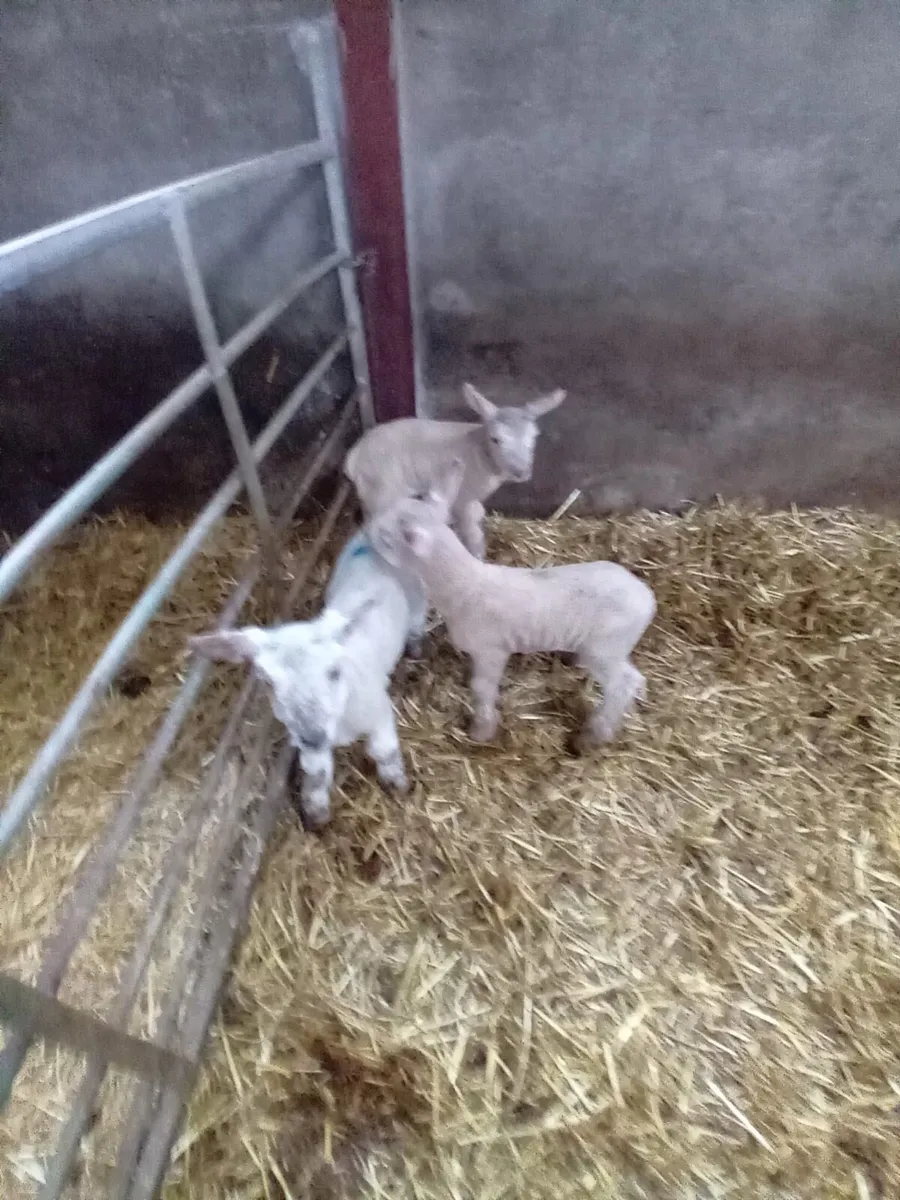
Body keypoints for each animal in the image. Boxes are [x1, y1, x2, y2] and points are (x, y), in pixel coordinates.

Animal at [188, 528, 426, 830]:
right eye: (267, 681)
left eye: (334, 671)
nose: (313, 736)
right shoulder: (305, 741)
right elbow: (317, 772)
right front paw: (316, 811)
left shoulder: (379, 712)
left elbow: (384, 750)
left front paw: (396, 783)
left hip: (419, 597)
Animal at [344, 382, 567, 560]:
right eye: (496, 439)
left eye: (534, 437)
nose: (520, 472)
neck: (479, 453)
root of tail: (353, 456)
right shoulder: (463, 498)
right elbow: (472, 533)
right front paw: (477, 557)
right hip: (383, 490)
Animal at [368, 462, 656, 752]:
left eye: (386, 538)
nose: (366, 532)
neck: (465, 587)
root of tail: (647, 598)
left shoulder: (491, 649)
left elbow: (482, 687)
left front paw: (481, 729)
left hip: (605, 646)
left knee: (624, 683)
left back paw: (594, 735)